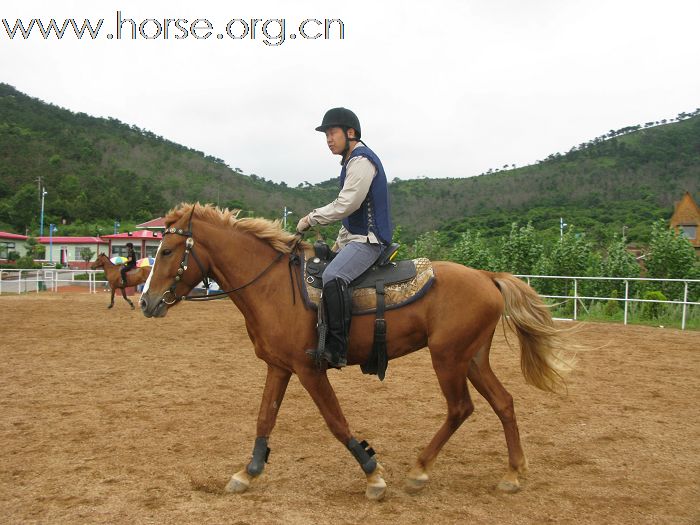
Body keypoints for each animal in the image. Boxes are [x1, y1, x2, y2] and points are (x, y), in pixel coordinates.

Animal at [139, 204, 572, 500]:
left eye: (167, 251)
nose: (146, 301)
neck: (273, 287)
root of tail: (486, 276)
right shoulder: (279, 367)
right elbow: (265, 418)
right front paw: (248, 471)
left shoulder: (310, 370)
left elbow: (336, 422)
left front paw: (372, 473)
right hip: (472, 358)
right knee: (504, 403)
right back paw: (513, 473)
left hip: (448, 358)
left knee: (460, 409)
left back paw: (419, 469)